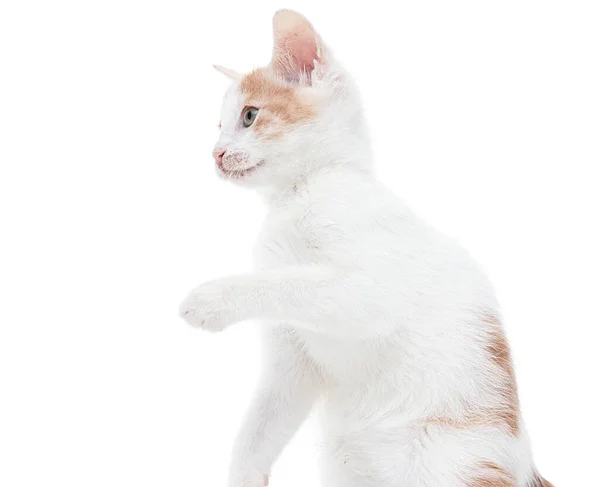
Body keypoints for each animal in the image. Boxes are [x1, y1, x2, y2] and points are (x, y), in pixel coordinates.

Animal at [178, 8, 552, 487]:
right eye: (219, 125)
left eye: (249, 116)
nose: (216, 153)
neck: (299, 193)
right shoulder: (292, 360)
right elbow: (259, 426)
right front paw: (244, 474)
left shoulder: (368, 292)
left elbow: (289, 282)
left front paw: (210, 299)